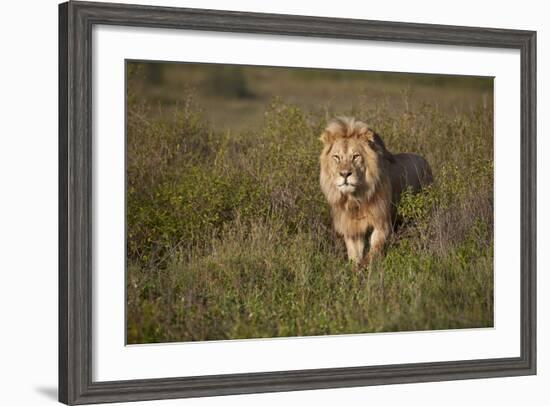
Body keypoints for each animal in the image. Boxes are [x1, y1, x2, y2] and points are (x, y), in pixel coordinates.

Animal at [322, 116, 434, 264]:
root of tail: (425, 161)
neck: (355, 198)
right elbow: (354, 257)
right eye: (336, 157)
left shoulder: (382, 223)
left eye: (356, 156)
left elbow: (373, 253)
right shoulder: (352, 229)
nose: (345, 174)